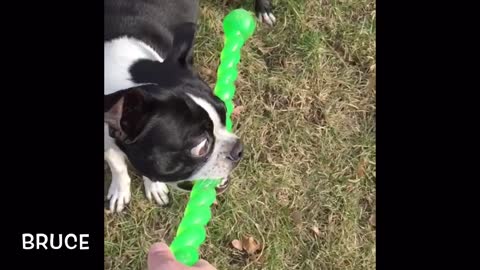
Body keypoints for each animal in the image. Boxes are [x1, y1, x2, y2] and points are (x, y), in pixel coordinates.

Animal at [104, 0, 274, 212]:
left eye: (224, 113)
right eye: (200, 146)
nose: (238, 148)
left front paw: (154, 187)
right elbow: (117, 165)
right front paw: (121, 191)